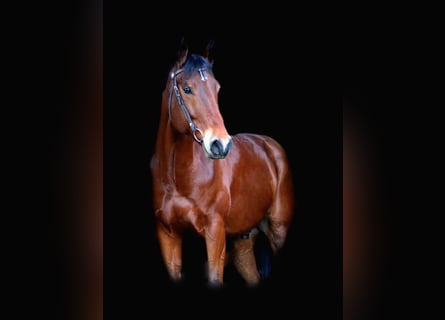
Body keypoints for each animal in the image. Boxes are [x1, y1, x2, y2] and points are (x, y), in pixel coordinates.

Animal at [152, 43, 294, 288]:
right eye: (187, 89)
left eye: (216, 89)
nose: (221, 144)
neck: (176, 177)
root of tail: (270, 145)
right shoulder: (168, 235)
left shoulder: (215, 232)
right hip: (243, 239)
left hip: (278, 229)